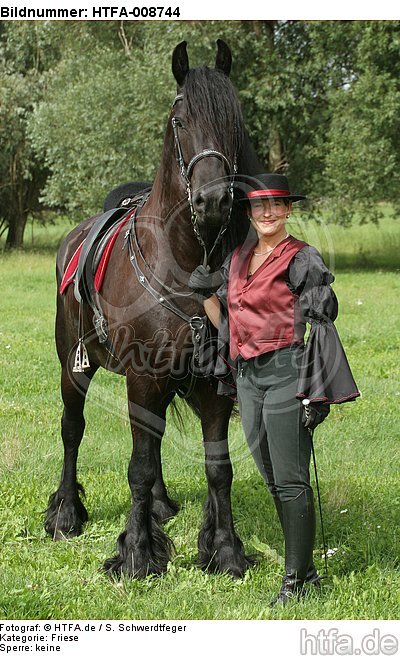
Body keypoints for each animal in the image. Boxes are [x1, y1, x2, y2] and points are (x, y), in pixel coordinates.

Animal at [45, 39, 261, 578]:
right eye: (179, 119)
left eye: (234, 120)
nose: (212, 200)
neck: (182, 264)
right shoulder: (142, 379)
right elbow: (138, 467)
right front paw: (137, 554)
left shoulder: (211, 385)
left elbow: (218, 467)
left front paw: (225, 552)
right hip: (73, 365)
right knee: (72, 430)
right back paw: (65, 514)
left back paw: (160, 506)